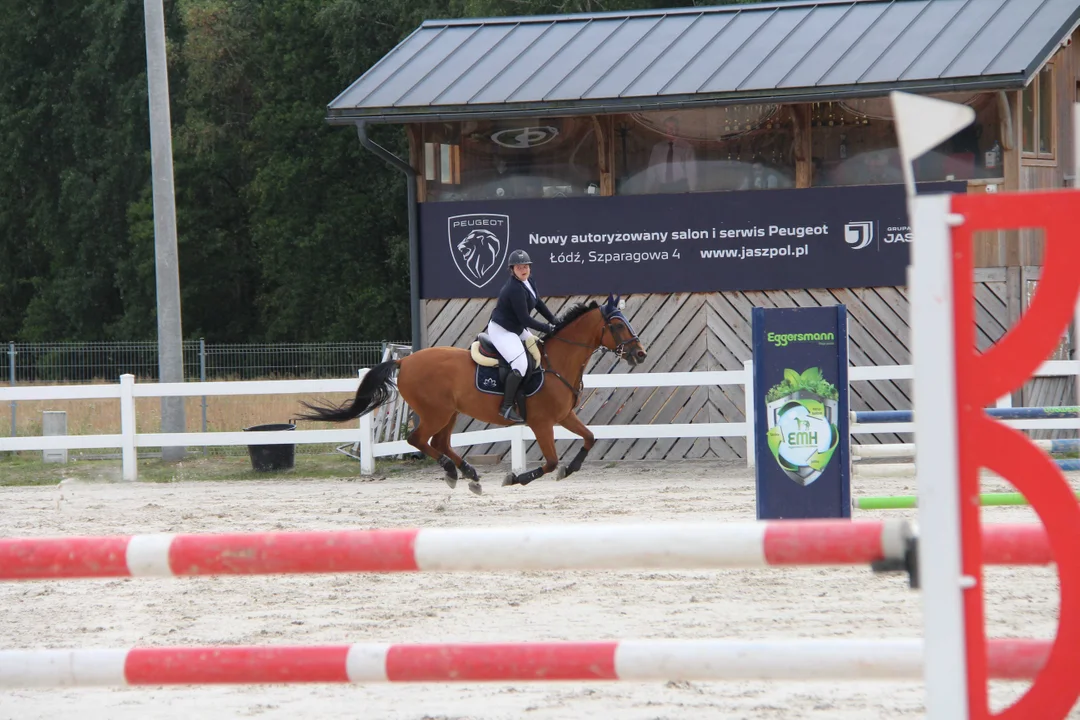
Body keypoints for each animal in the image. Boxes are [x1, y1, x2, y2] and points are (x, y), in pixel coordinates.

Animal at [295, 293, 643, 496]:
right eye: (617, 325)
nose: (639, 353)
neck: (557, 361)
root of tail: (405, 360)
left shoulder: (565, 416)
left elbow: (589, 438)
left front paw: (569, 470)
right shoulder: (542, 423)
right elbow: (549, 461)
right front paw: (516, 479)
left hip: (449, 412)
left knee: (440, 443)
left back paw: (469, 473)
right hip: (435, 412)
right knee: (418, 439)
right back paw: (454, 471)